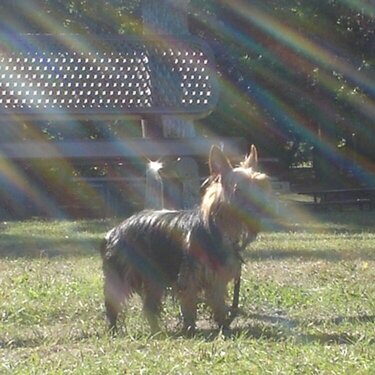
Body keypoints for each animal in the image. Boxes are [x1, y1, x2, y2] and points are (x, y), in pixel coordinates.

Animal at [100, 145, 270, 336]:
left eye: (261, 185)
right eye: (239, 189)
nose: (262, 205)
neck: (220, 228)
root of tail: (114, 231)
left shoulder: (217, 280)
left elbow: (218, 305)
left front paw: (223, 327)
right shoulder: (189, 278)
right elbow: (189, 307)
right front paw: (190, 330)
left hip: (153, 278)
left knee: (150, 306)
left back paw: (156, 331)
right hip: (123, 273)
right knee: (114, 303)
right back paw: (114, 329)